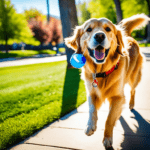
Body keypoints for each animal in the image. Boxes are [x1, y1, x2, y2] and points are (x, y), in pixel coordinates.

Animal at [65, 14, 149, 149]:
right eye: (89, 29)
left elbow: (109, 119)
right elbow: (92, 109)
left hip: (134, 77)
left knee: (132, 90)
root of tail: (128, 36)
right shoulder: (91, 93)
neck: (102, 72)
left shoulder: (117, 96)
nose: (99, 36)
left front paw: (107, 138)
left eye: (108, 29)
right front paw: (90, 126)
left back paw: (131, 104)